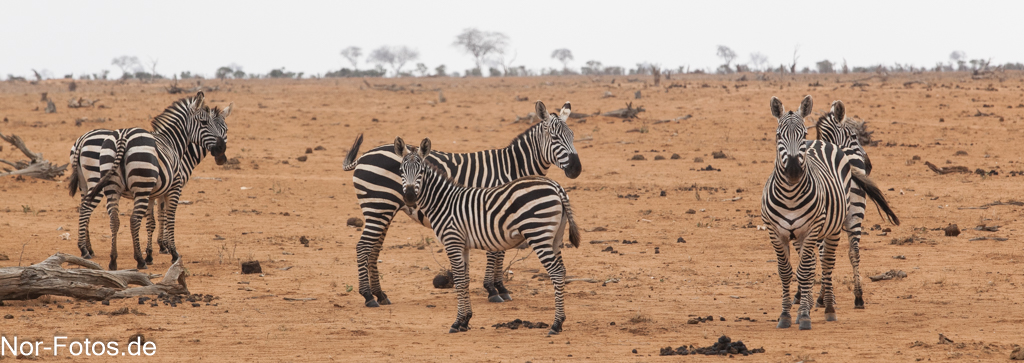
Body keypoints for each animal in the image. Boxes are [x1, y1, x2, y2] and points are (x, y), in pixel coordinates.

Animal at [76, 92, 229, 270]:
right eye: (205, 123)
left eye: (225, 130)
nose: (221, 152)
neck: (173, 143)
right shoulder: (174, 187)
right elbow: (167, 217)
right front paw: (170, 250)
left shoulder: (154, 192)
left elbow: (152, 220)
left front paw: (152, 252)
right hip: (115, 184)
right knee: (124, 218)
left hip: (105, 186)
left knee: (109, 217)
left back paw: (108, 258)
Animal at [344, 100, 581, 307]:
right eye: (554, 137)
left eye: (572, 136)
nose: (576, 169)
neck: (511, 167)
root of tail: (364, 155)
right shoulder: (491, 211)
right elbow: (495, 252)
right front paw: (493, 290)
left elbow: (499, 251)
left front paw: (500, 287)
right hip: (378, 206)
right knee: (363, 247)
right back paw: (368, 296)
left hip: (383, 210)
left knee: (374, 249)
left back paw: (380, 294)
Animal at [395, 137, 581, 336]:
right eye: (401, 171)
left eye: (421, 171)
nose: (409, 196)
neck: (443, 202)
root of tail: (556, 186)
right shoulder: (463, 245)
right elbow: (465, 280)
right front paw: (465, 320)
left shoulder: (452, 241)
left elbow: (459, 281)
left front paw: (457, 322)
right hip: (555, 238)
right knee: (562, 271)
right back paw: (560, 321)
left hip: (538, 234)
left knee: (556, 272)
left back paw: (555, 324)